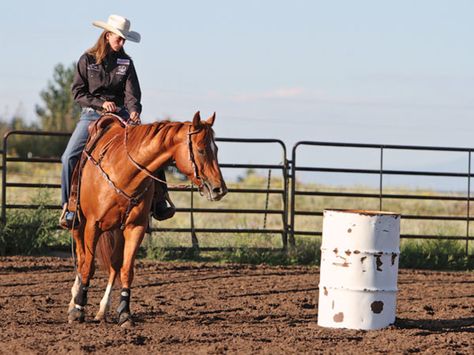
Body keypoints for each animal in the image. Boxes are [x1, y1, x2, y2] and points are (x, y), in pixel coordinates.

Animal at [66, 110, 228, 326]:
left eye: (216, 149)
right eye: (201, 150)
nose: (220, 189)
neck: (123, 171)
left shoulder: (136, 227)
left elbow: (126, 270)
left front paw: (125, 314)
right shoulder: (93, 224)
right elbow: (88, 266)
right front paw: (78, 309)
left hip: (118, 229)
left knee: (114, 264)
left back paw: (102, 310)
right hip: (79, 224)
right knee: (82, 258)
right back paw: (74, 300)